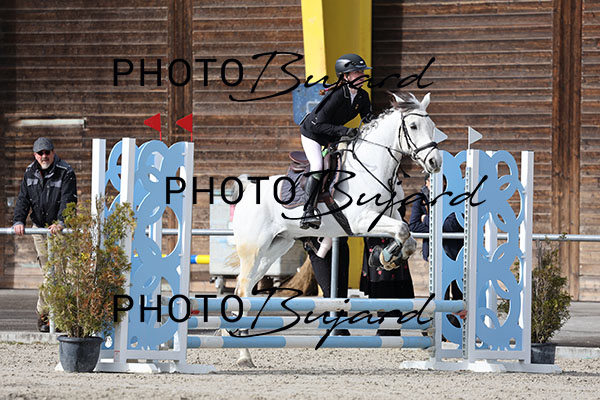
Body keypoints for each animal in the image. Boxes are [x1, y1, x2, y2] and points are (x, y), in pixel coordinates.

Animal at [230, 92, 443, 366]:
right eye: (414, 126)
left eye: (432, 126)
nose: (435, 162)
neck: (372, 167)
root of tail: (246, 192)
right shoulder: (361, 220)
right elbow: (404, 230)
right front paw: (385, 258)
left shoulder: (389, 214)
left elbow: (408, 237)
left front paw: (385, 258)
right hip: (254, 248)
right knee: (243, 288)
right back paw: (243, 355)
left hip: (276, 246)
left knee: (244, 288)